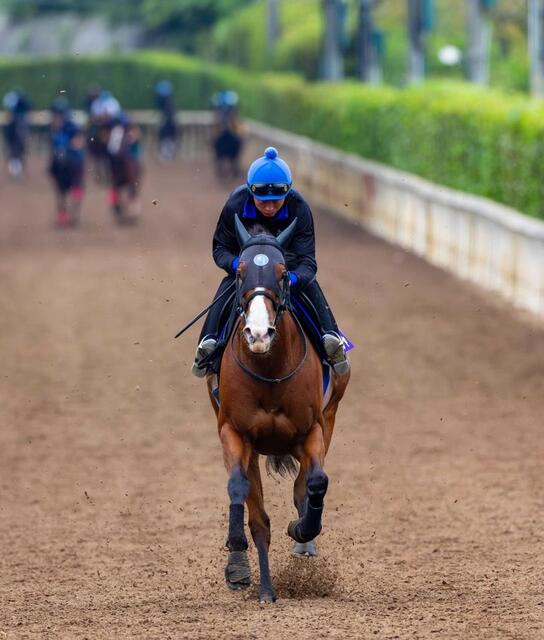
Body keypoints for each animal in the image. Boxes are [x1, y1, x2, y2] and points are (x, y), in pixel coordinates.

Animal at [206, 216, 350, 603]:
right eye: (239, 271)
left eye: (284, 272)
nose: (258, 334)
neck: (269, 369)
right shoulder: (234, 432)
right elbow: (242, 495)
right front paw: (241, 564)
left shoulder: (312, 430)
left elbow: (315, 482)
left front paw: (302, 530)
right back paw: (261, 583)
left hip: (330, 414)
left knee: (305, 485)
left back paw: (304, 542)